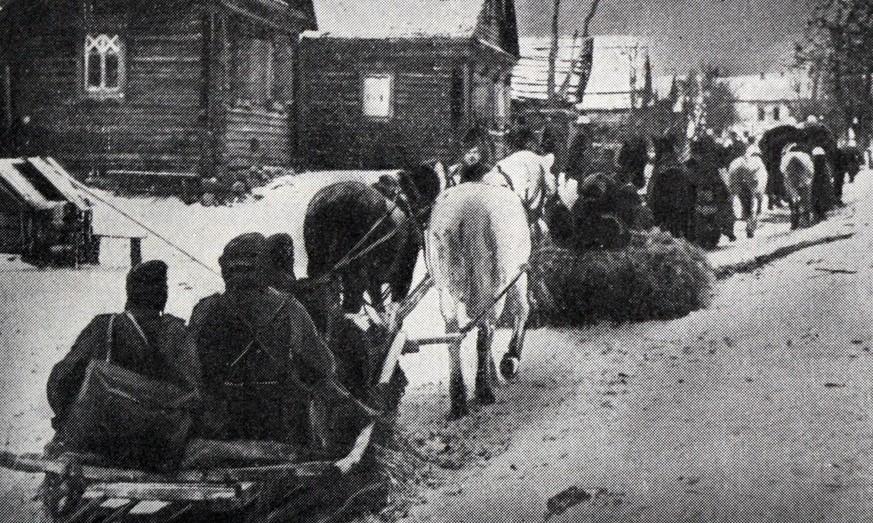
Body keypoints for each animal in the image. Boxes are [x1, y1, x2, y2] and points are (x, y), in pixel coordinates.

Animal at [424, 184, 528, 422]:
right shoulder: (519, 274)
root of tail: (461, 217)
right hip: (492, 286)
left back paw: (458, 399)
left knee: (453, 335)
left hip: (447, 289)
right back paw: (483, 391)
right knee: (485, 331)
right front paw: (510, 360)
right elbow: (522, 310)